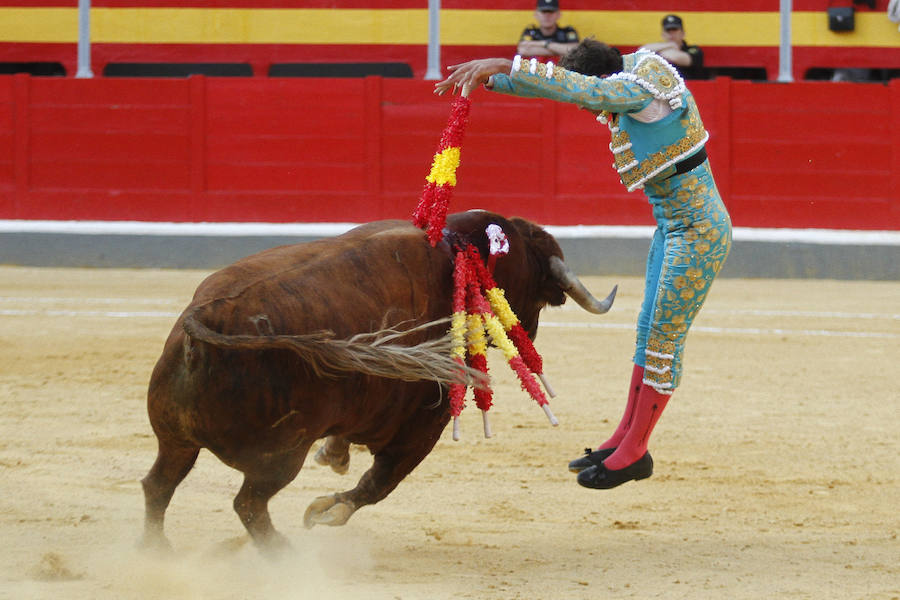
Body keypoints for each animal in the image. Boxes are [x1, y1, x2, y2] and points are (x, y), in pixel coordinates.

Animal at [142, 210, 620, 552]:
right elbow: (381, 481)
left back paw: (155, 550)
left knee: (159, 484)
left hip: (176, 438)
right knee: (249, 503)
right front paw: (327, 510)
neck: (457, 248)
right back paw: (284, 552)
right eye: (537, 291)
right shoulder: (422, 423)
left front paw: (333, 459)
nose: (531, 331)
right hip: (278, 456)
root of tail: (208, 316)